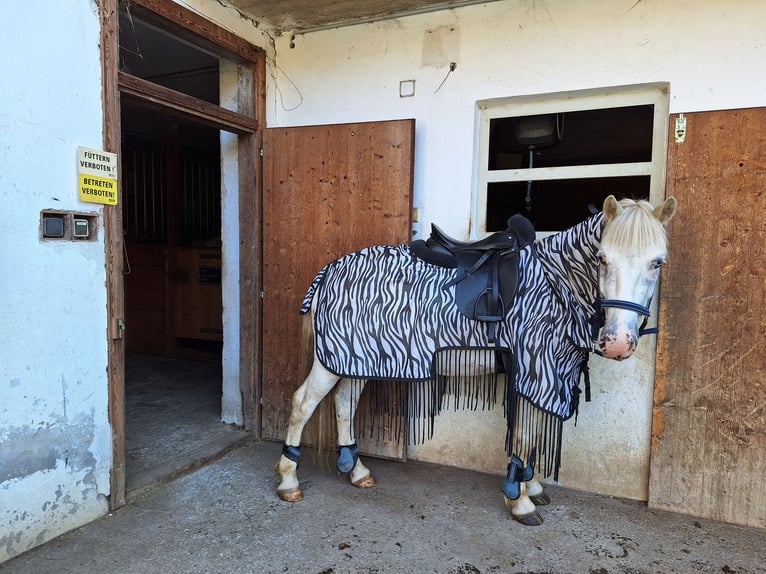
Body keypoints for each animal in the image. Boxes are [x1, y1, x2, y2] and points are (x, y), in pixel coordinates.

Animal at [274, 197, 680, 528]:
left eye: (658, 263)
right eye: (603, 259)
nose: (618, 341)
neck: (556, 285)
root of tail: (330, 271)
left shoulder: (549, 371)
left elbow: (533, 432)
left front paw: (531, 485)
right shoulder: (534, 368)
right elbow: (526, 433)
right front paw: (519, 500)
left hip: (355, 360)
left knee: (344, 403)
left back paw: (355, 470)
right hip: (332, 362)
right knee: (303, 403)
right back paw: (289, 479)